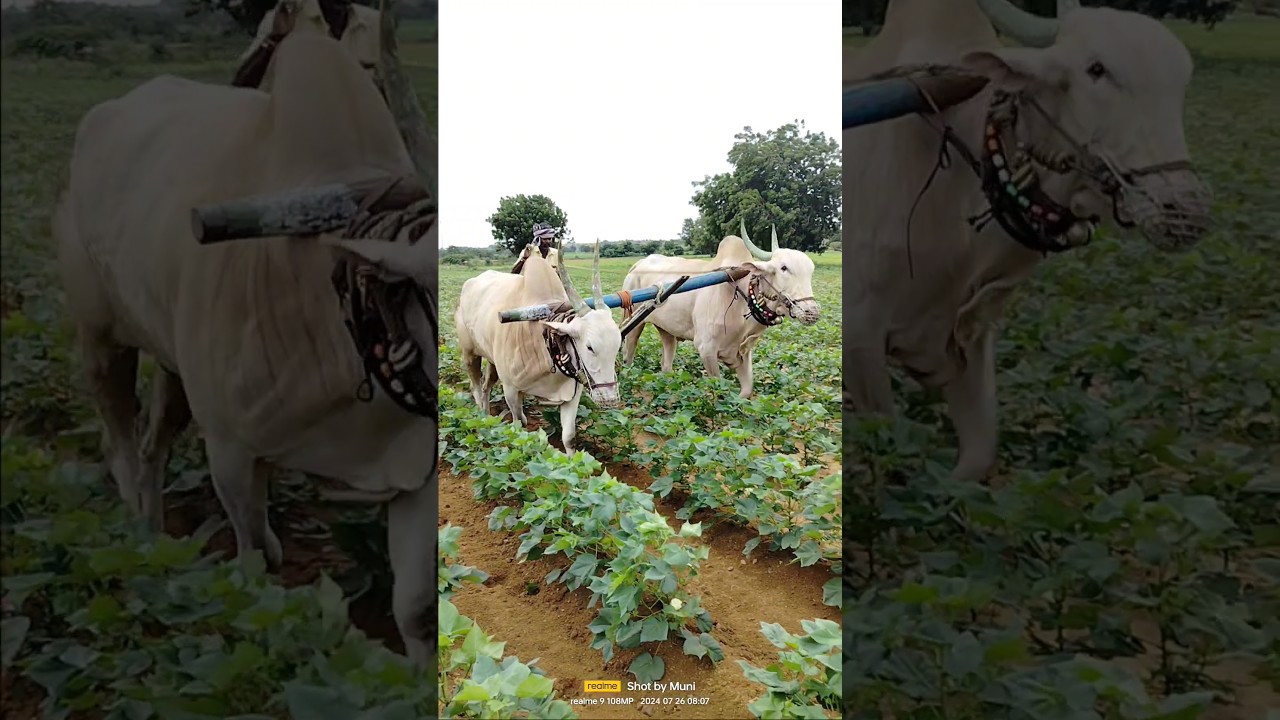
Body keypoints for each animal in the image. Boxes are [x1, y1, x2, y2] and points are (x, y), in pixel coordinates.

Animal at [52, 0, 439, 664]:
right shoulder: (229, 448)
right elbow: (258, 554)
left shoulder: (414, 467)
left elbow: (414, 610)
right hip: (100, 337)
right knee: (120, 441)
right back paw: (137, 544)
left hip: (174, 366)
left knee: (153, 444)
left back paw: (156, 534)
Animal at [454, 240, 621, 452]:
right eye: (590, 347)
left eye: (618, 345)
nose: (610, 398)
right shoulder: (510, 388)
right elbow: (519, 424)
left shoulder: (573, 393)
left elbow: (569, 437)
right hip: (469, 353)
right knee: (476, 387)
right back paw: (482, 420)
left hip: (492, 360)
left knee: (486, 387)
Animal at [619, 222, 821, 398]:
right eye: (784, 268)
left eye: (811, 271)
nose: (812, 312)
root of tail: (638, 264)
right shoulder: (706, 348)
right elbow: (717, 385)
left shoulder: (744, 352)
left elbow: (746, 391)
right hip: (635, 323)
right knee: (629, 353)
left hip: (666, 329)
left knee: (666, 360)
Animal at [843, 0, 1213, 482]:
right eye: (1096, 69)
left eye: (1181, 81)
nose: (1185, 211)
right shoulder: (860, 339)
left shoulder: (969, 339)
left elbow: (975, 461)